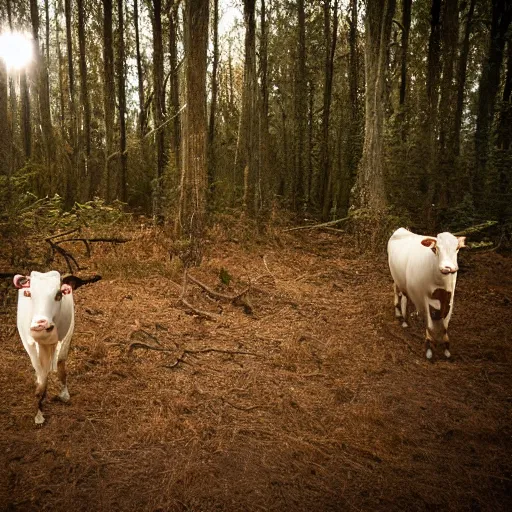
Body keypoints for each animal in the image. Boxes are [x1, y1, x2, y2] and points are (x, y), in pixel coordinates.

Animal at [388, 228, 468, 360]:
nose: (448, 267)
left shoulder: (449, 297)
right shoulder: (421, 298)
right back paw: (402, 317)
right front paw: (429, 348)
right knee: (400, 293)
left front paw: (446, 348)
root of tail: (402, 230)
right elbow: (429, 323)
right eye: (436, 248)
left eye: (457, 248)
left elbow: (445, 325)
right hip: (397, 277)